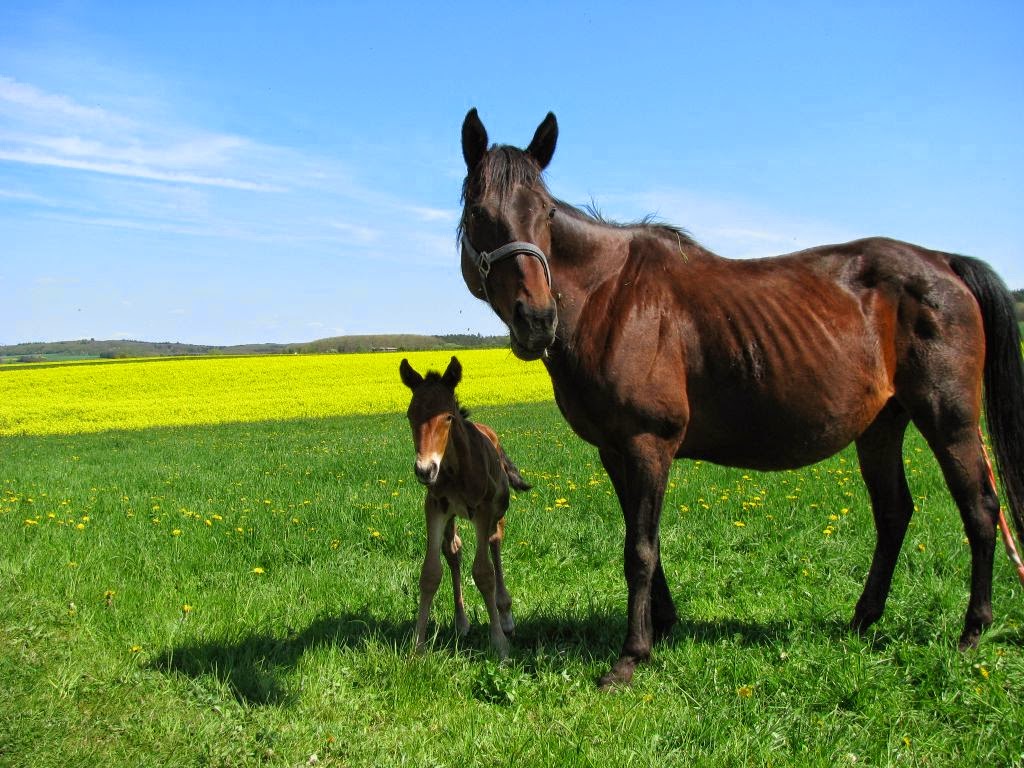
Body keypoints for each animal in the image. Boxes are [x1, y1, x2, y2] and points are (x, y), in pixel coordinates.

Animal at [400, 355, 531, 658]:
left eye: (448, 417)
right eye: (411, 415)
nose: (425, 470)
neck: (454, 468)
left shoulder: (483, 510)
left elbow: (484, 573)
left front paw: (500, 645)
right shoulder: (435, 507)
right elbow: (430, 573)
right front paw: (418, 648)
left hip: (497, 511)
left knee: (495, 543)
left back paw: (506, 617)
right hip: (452, 517)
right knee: (453, 551)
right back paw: (461, 622)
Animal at [456, 108, 1024, 688]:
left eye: (546, 213)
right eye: (479, 211)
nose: (536, 319)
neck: (610, 297)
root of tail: (944, 262)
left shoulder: (647, 444)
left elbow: (639, 549)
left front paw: (631, 655)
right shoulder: (615, 452)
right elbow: (643, 541)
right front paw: (662, 626)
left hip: (949, 420)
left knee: (980, 511)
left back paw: (972, 630)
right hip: (881, 426)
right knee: (893, 514)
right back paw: (863, 620)